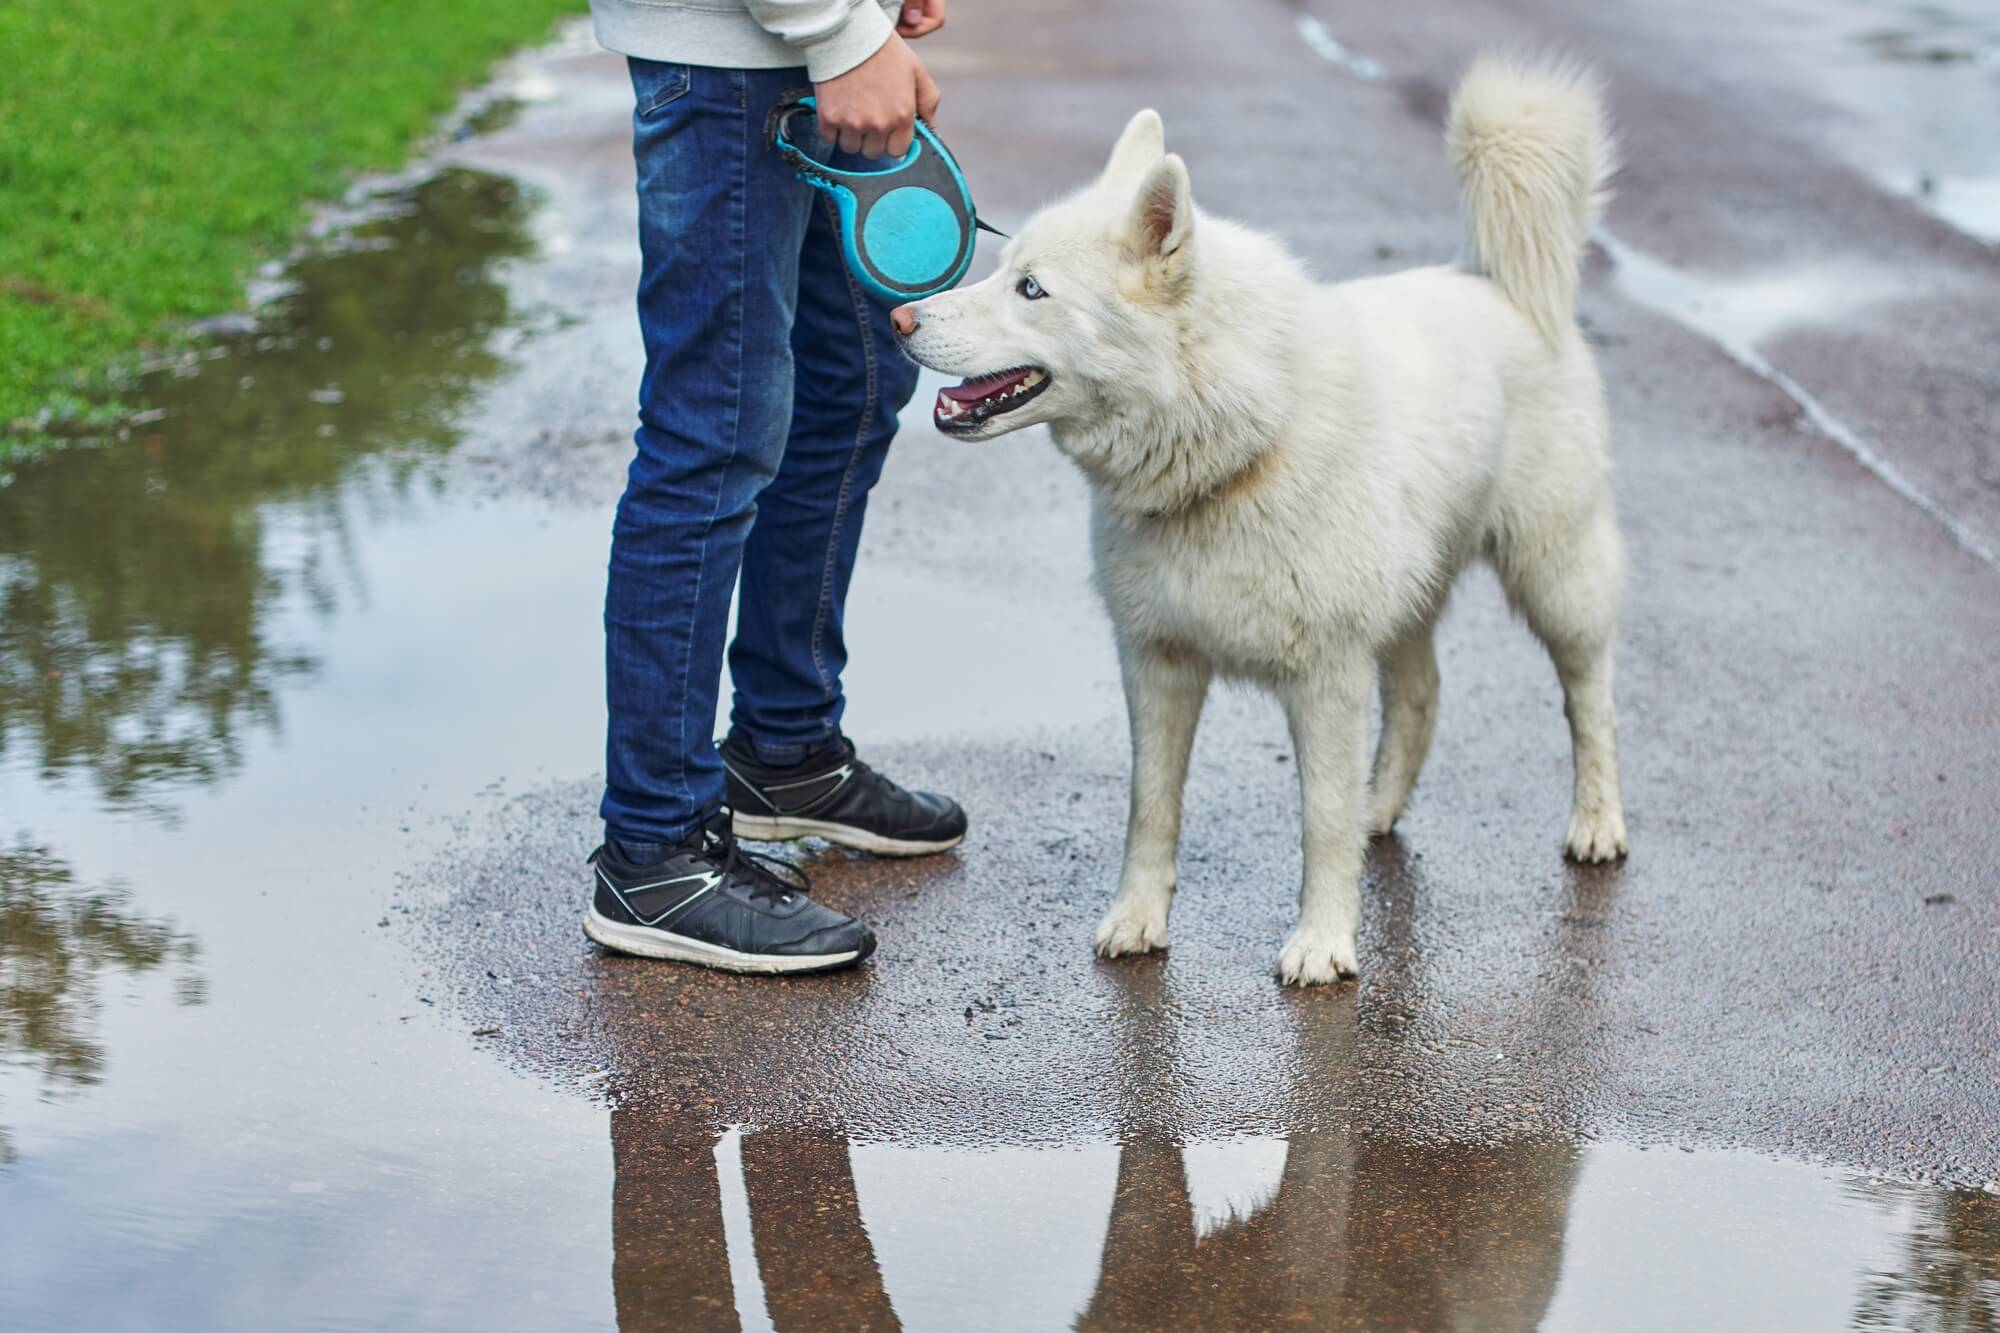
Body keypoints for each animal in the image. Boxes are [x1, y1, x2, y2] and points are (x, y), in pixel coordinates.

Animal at [892, 57, 1624, 980]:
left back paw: (1597, 823)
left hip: (1554, 572)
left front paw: (1322, 943)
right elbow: (1151, 807)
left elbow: (1320, 822)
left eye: (1032, 289)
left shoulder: (1326, 677)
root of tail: (1491, 283)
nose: (900, 317)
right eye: (1003, 270)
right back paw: (1380, 805)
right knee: (1421, 694)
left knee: (1589, 695)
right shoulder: (1156, 664)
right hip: (1410, 598)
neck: (1232, 452)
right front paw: (1137, 919)